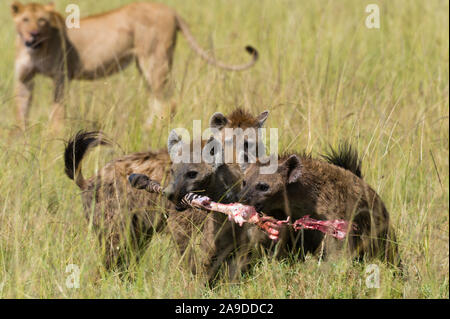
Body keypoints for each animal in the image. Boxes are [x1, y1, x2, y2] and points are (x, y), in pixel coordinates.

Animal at [10, 1, 258, 129]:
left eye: (42, 20)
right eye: (25, 20)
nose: (32, 34)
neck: (36, 48)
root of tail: (171, 10)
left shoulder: (61, 76)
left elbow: (57, 110)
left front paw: (53, 136)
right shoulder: (23, 80)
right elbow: (21, 111)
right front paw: (22, 138)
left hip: (154, 60)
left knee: (167, 102)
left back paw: (148, 129)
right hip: (144, 64)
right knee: (157, 100)